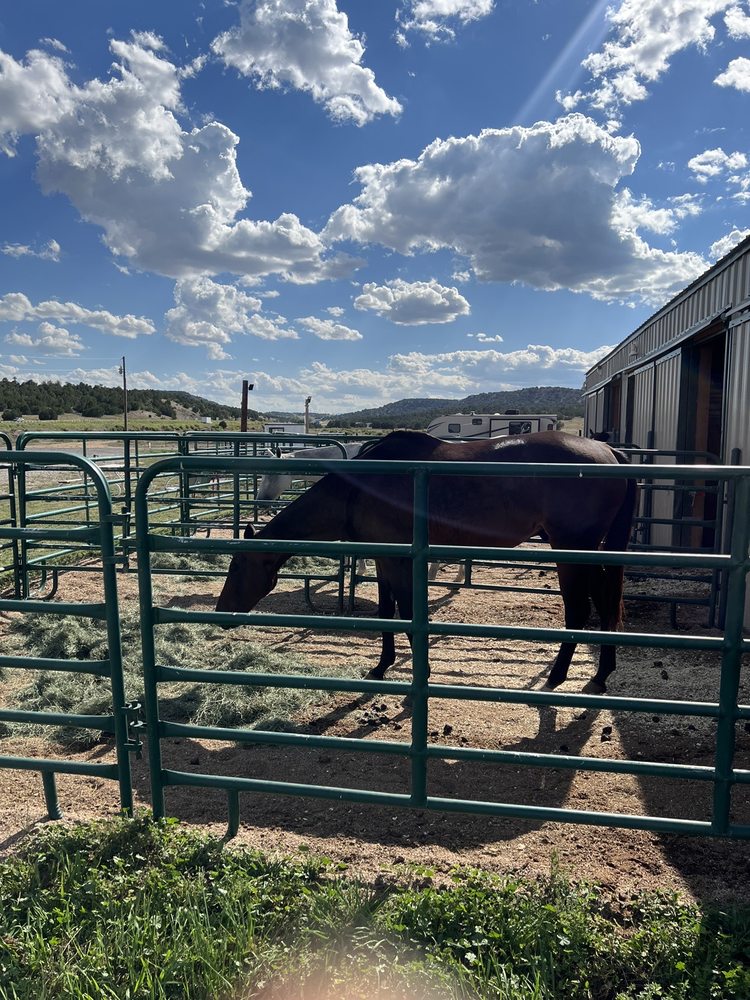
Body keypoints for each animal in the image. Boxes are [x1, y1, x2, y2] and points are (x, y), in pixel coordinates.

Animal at [217, 430, 638, 694]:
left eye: (236, 567)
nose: (221, 613)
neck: (360, 487)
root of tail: (611, 455)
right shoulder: (385, 556)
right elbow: (387, 614)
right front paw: (382, 666)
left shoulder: (399, 561)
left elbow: (407, 614)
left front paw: (421, 672)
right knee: (605, 604)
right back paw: (601, 675)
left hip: (572, 549)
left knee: (578, 611)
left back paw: (559, 675)